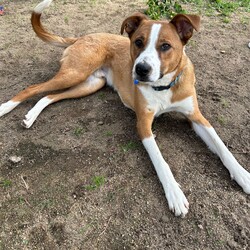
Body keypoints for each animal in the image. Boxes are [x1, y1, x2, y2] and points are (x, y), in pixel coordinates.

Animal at [0, 0, 249, 217]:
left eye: (165, 46)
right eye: (138, 42)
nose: (140, 70)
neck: (163, 86)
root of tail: (84, 36)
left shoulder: (196, 117)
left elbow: (221, 146)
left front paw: (243, 175)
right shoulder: (143, 124)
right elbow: (161, 161)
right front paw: (175, 194)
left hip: (89, 84)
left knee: (50, 96)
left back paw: (31, 116)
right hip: (75, 73)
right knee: (33, 88)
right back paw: (5, 108)